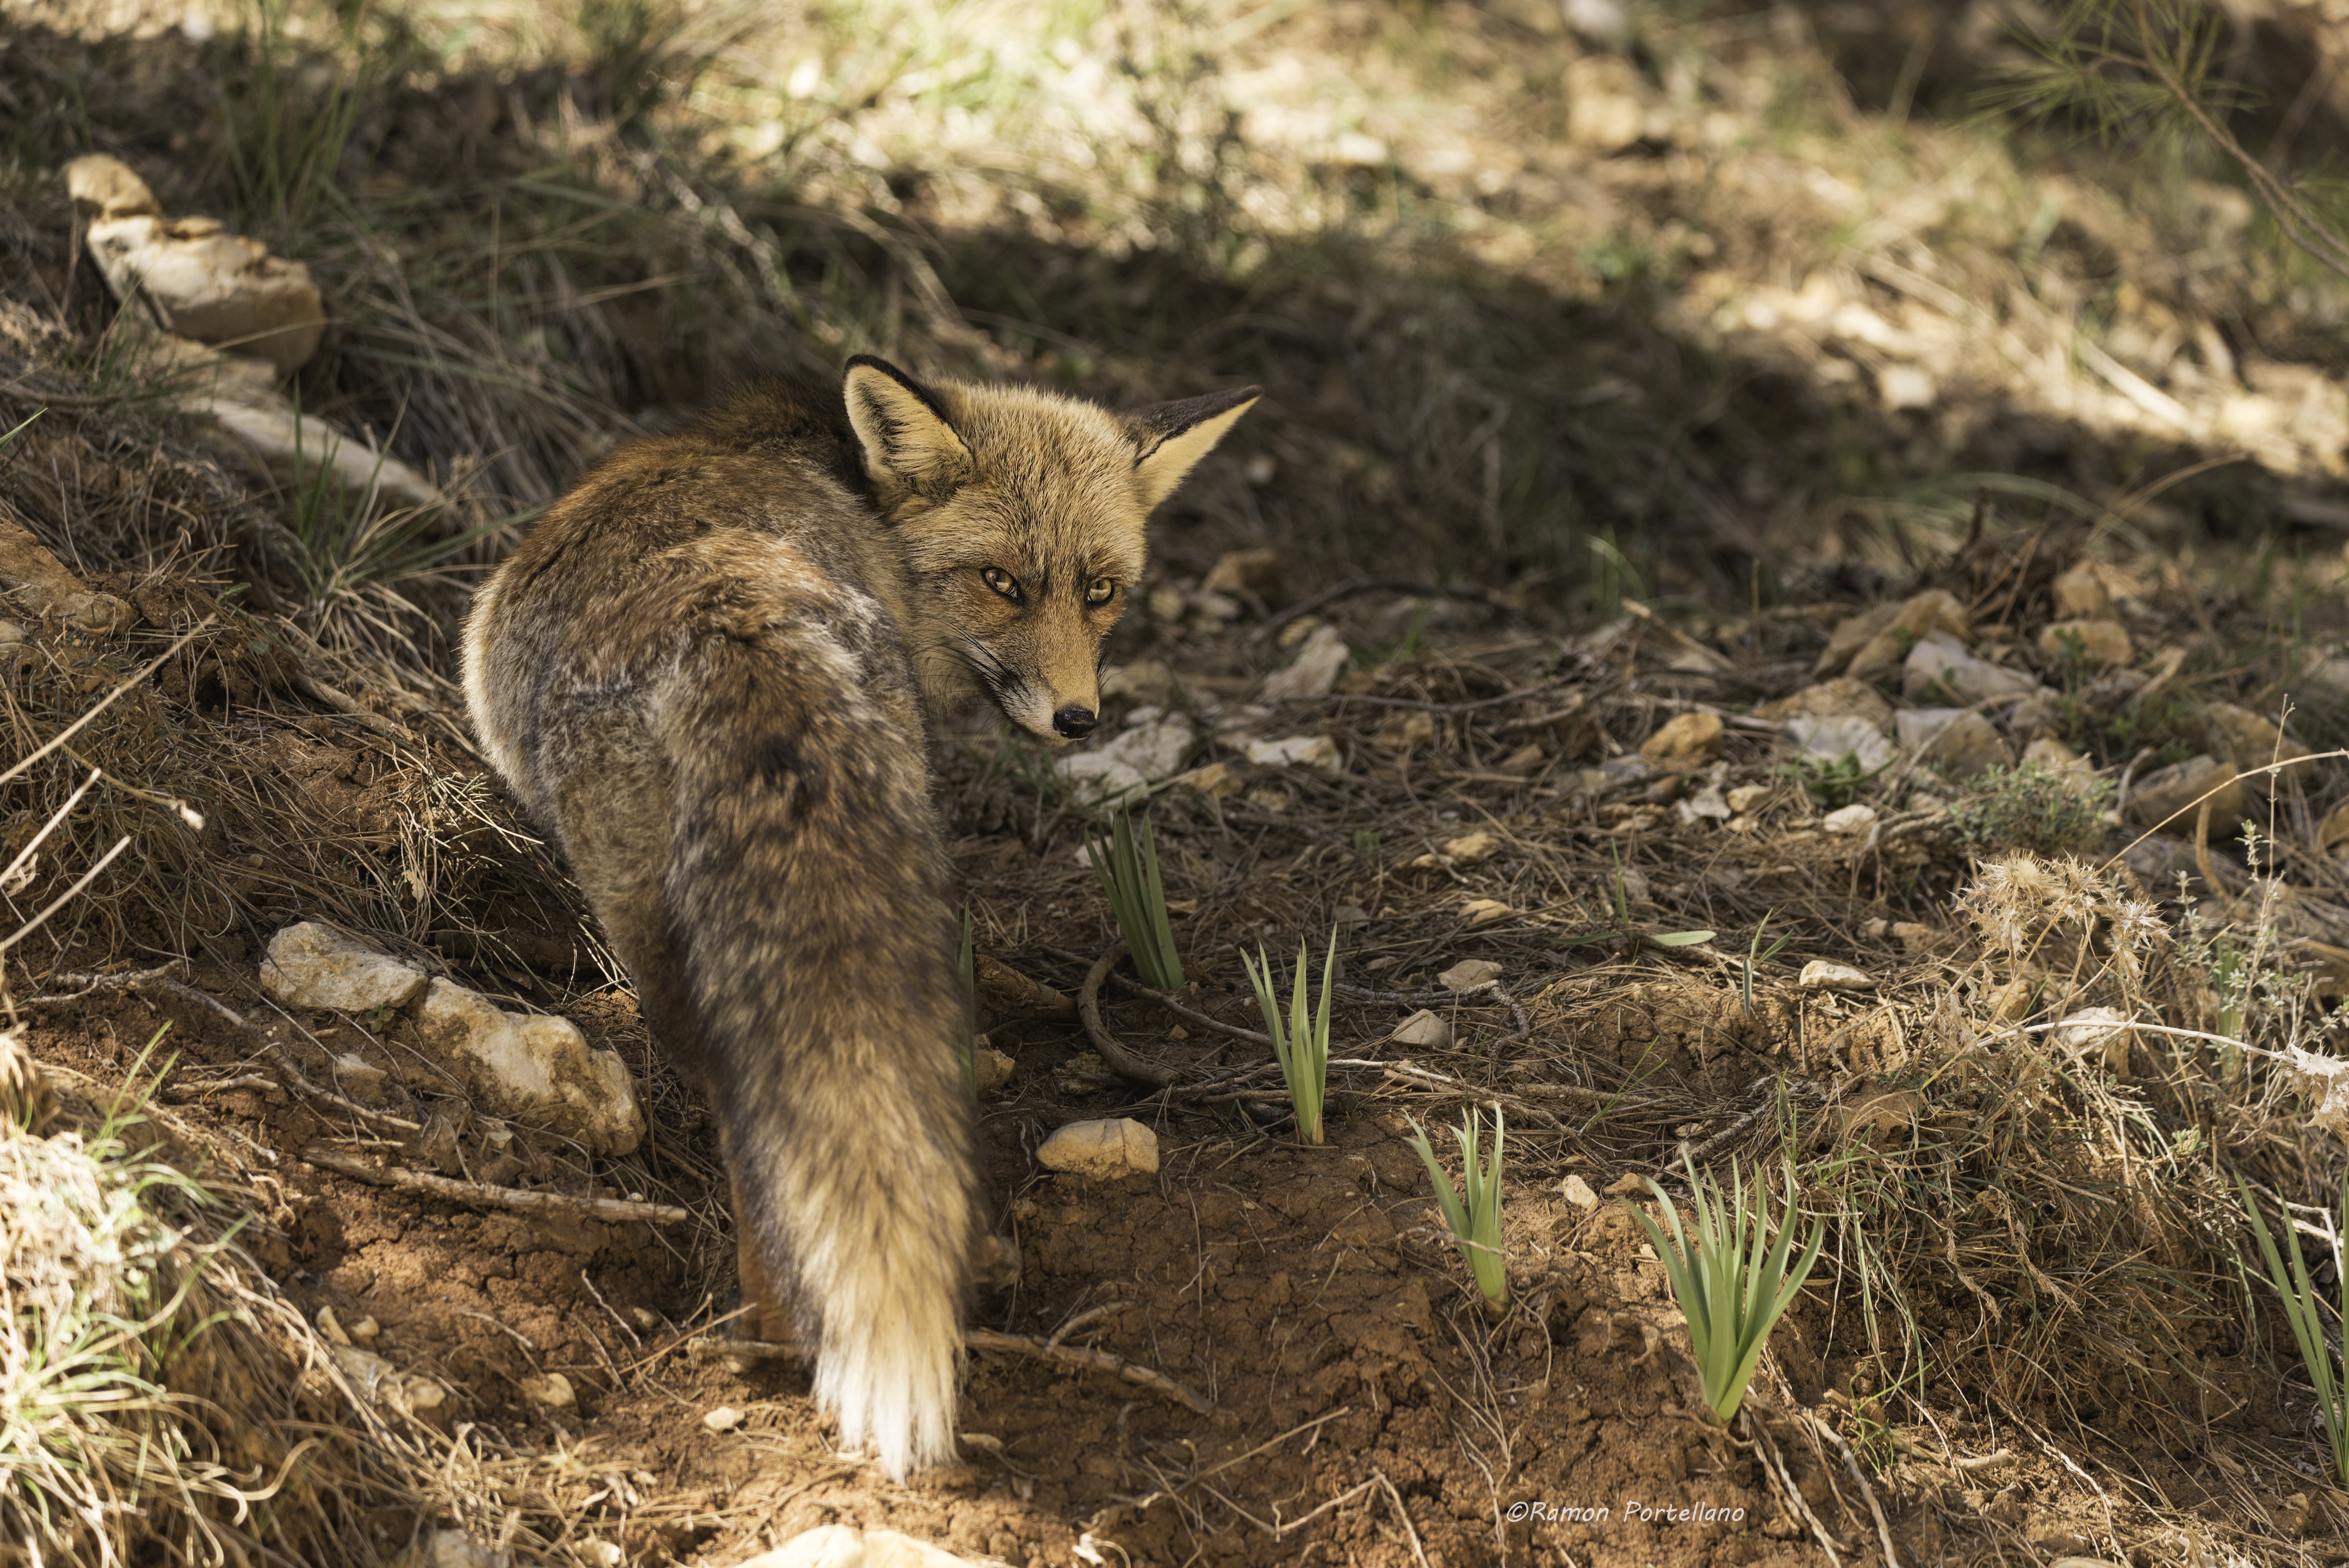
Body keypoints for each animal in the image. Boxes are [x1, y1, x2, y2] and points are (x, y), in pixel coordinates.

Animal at [460, 354, 1258, 1478]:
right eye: (1002, 581)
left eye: (1098, 591)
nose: (1078, 720)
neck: (848, 489)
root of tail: (730, 608)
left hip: (664, 941)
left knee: (752, 1125)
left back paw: (767, 1339)